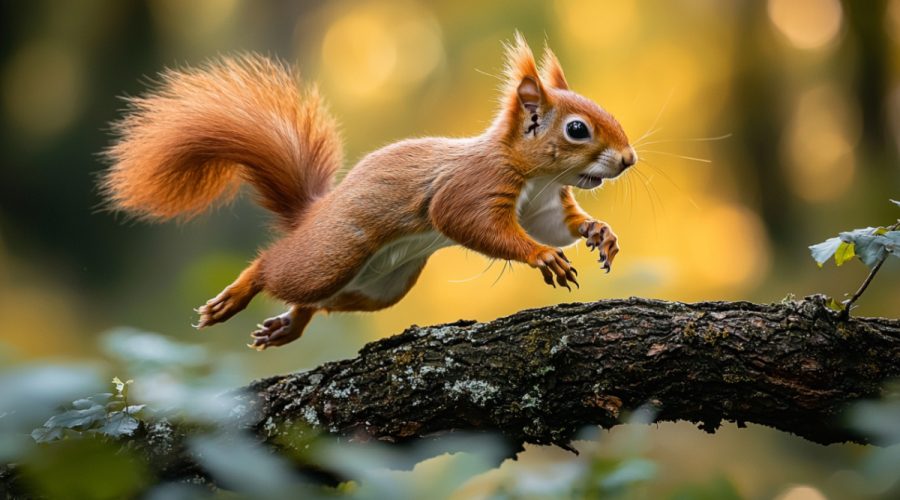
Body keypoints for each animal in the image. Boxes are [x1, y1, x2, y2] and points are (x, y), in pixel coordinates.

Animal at [101, 34, 636, 350]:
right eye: (577, 129)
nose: (629, 159)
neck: (536, 176)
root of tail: (312, 215)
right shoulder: (471, 186)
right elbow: (466, 221)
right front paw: (541, 256)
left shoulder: (543, 204)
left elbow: (558, 225)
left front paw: (599, 233)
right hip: (330, 257)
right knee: (276, 268)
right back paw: (235, 295)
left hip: (379, 287)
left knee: (319, 301)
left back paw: (287, 327)